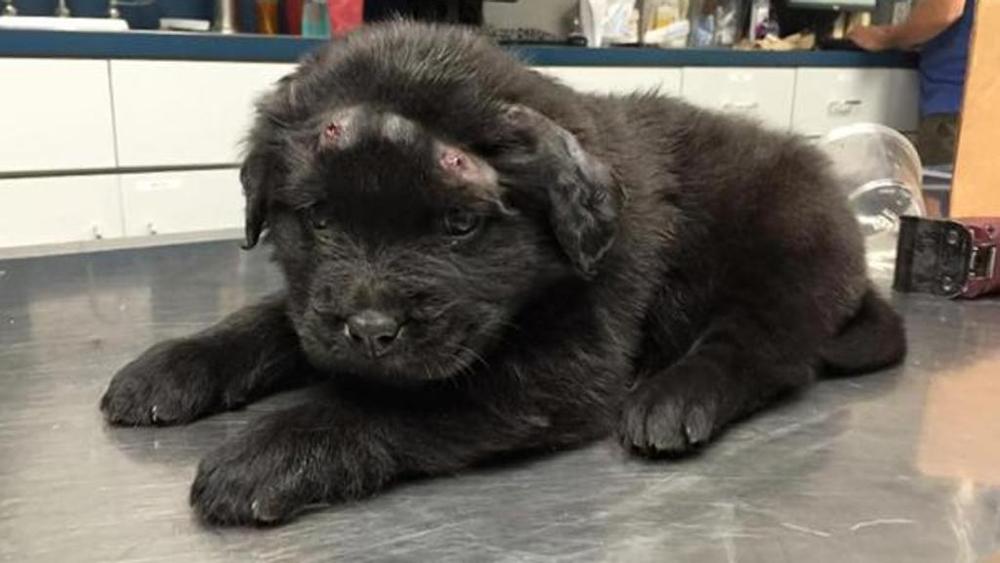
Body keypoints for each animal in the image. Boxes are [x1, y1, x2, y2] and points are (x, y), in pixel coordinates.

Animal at [100, 22, 906, 526]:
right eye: (320, 219)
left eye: (459, 225)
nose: (370, 330)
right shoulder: (313, 304)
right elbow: (271, 319)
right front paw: (172, 366)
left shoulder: (565, 367)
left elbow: (395, 401)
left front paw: (269, 452)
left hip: (780, 253)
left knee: (768, 350)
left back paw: (674, 397)